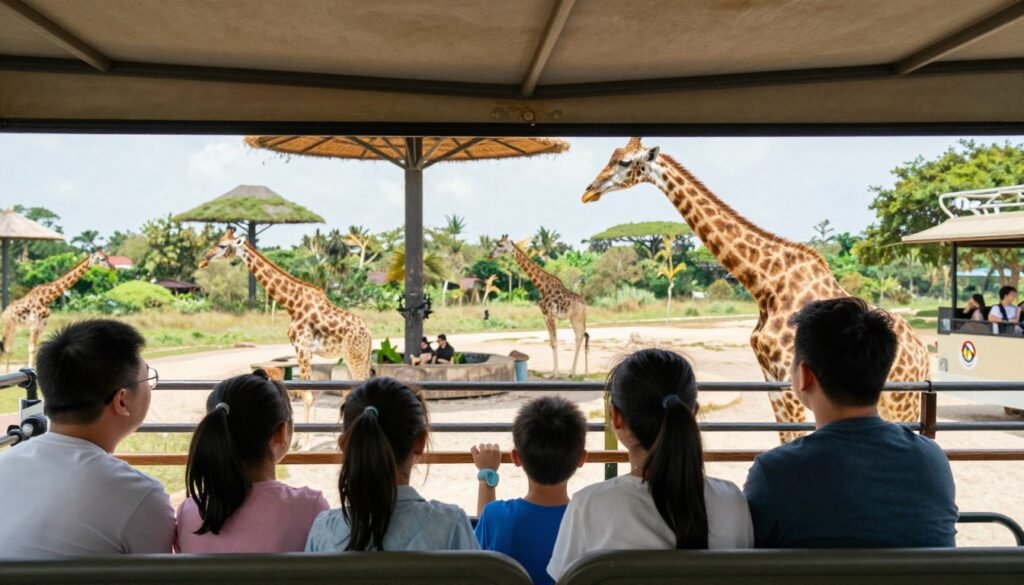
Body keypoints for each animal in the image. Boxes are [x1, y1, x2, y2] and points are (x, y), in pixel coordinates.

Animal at [199, 229, 373, 423]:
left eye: (222, 245)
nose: (204, 259)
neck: (292, 305)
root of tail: (369, 334)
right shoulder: (304, 351)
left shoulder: (302, 348)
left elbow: (307, 395)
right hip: (356, 358)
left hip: (355, 356)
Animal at [491, 235, 589, 378]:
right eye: (497, 243)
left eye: (501, 245)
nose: (489, 255)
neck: (542, 287)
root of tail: (584, 304)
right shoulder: (545, 315)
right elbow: (551, 343)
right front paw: (551, 373)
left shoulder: (552, 315)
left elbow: (555, 342)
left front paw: (556, 375)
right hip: (573, 318)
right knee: (582, 336)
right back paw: (575, 372)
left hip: (577, 317)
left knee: (580, 337)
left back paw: (575, 373)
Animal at [582, 138, 928, 441]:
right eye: (613, 155)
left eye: (625, 162)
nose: (588, 191)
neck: (766, 284)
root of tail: (923, 353)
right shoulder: (772, 380)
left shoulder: (790, 381)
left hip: (903, 399)